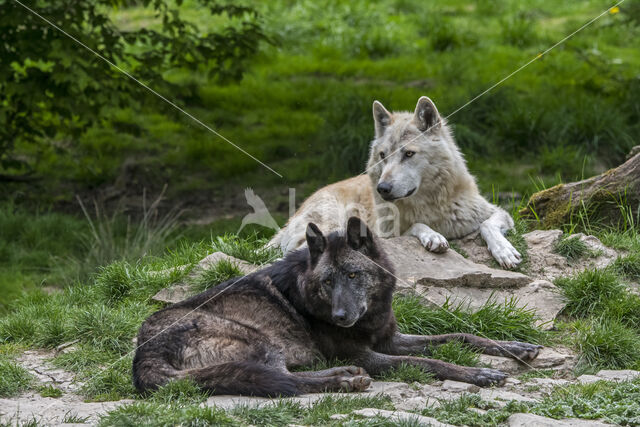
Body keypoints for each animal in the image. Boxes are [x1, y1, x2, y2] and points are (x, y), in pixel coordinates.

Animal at [134, 217, 540, 398]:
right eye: (328, 282)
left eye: (353, 275)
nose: (341, 317)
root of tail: (142, 358)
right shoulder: (371, 353)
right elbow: (429, 362)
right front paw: (479, 373)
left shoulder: (388, 339)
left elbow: (459, 334)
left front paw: (515, 348)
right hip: (260, 340)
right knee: (285, 381)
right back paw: (345, 379)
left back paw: (345, 374)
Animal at [268, 97, 524, 270]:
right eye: (383, 156)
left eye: (408, 154)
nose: (382, 188)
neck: (429, 206)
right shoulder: (385, 236)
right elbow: (416, 227)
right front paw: (433, 236)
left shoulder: (495, 212)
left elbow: (487, 225)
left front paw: (505, 251)